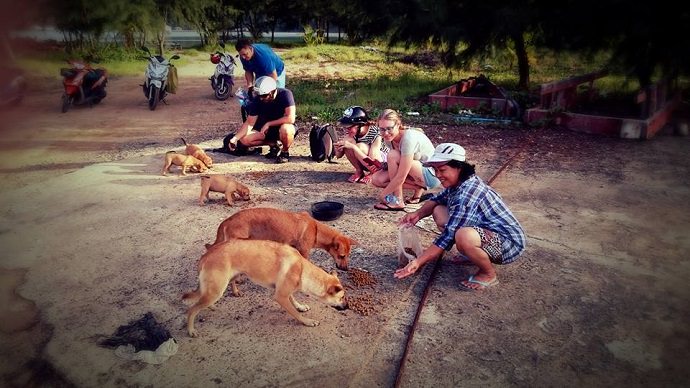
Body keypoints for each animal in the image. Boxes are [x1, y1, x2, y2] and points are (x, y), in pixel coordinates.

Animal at [181, 239, 346, 336]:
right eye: (342, 297)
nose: (348, 306)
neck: (302, 269)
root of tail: (206, 255)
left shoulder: (284, 290)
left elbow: (293, 299)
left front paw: (300, 306)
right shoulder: (280, 296)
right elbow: (295, 314)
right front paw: (307, 322)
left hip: (222, 284)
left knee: (202, 300)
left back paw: (212, 307)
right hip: (217, 289)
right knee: (192, 309)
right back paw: (191, 330)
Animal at [203, 208, 354, 296]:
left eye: (348, 256)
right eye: (342, 256)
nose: (346, 269)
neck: (316, 228)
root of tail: (226, 222)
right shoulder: (304, 253)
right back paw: (235, 291)